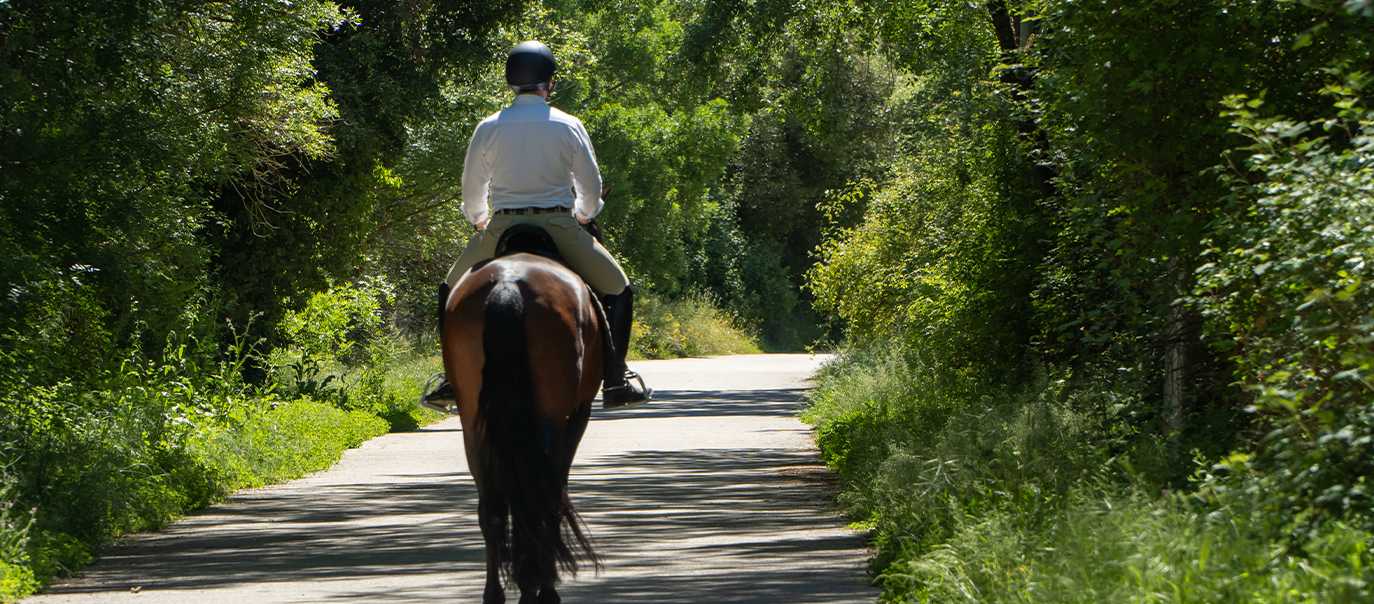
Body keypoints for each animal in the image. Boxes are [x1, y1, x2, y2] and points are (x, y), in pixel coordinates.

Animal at [441, 236, 604, 604]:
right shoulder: (578, 414)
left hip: (474, 425)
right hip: (552, 419)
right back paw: (537, 588)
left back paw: (497, 592)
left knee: (491, 505)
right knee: (541, 498)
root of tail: (508, 283)